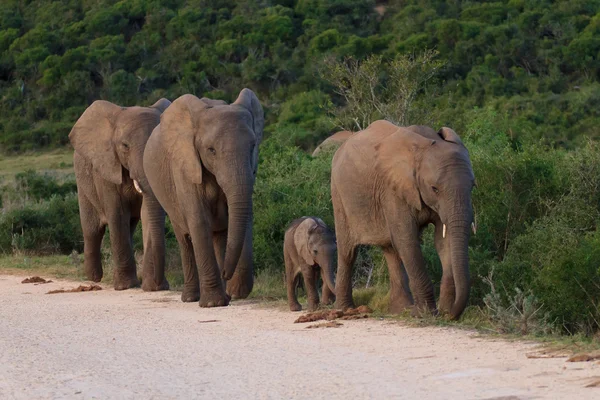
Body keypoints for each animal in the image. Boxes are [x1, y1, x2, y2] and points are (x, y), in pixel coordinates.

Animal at [71, 97, 172, 290]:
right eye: (125, 146)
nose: (161, 284)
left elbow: (147, 214)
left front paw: (151, 288)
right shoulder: (107, 169)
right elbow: (117, 215)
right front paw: (125, 286)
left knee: (129, 227)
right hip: (83, 182)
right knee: (92, 230)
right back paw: (93, 277)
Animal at [144, 88, 264, 306]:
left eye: (253, 146)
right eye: (211, 150)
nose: (226, 273)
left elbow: (242, 218)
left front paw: (231, 293)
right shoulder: (185, 167)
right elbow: (199, 222)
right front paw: (213, 304)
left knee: (219, 236)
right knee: (184, 239)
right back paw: (191, 298)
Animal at [330, 120, 476, 320]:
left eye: (472, 186)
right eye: (435, 188)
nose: (449, 315)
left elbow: (443, 240)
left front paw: (443, 311)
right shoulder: (393, 189)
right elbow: (407, 239)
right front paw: (424, 314)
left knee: (390, 249)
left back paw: (400, 310)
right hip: (339, 194)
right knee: (348, 252)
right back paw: (345, 310)